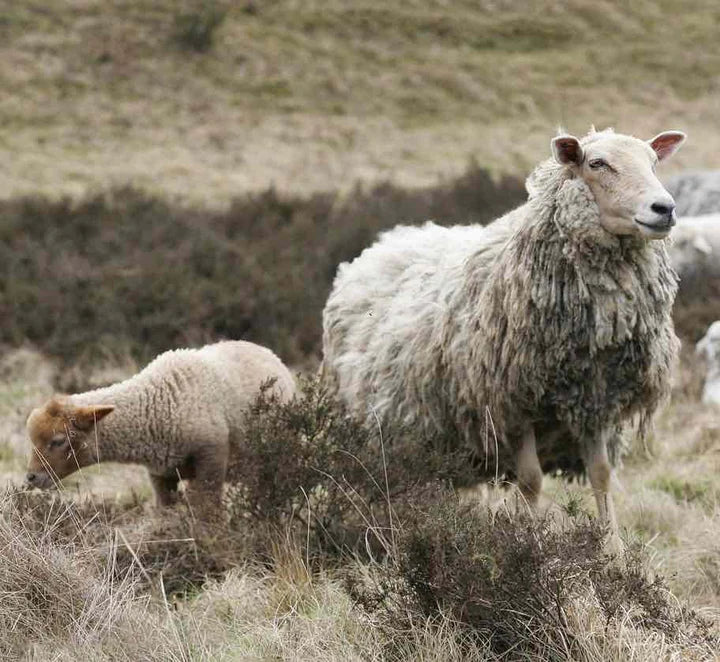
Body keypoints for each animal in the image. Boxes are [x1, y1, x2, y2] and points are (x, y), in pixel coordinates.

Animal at [25, 340, 296, 516]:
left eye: (58, 440)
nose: (31, 477)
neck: (158, 403)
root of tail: (271, 355)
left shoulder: (212, 460)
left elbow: (207, 512)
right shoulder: (160, 475)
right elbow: (165, 512)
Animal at [322, 128, 686, 548]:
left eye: (654, 162)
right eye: (597, 163)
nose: (664, 208)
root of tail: (386, 242)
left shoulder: (592, 400)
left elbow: (601, 474)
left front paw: (613, 551)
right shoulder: (511, 403)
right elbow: (530, 481)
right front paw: (532, 544)